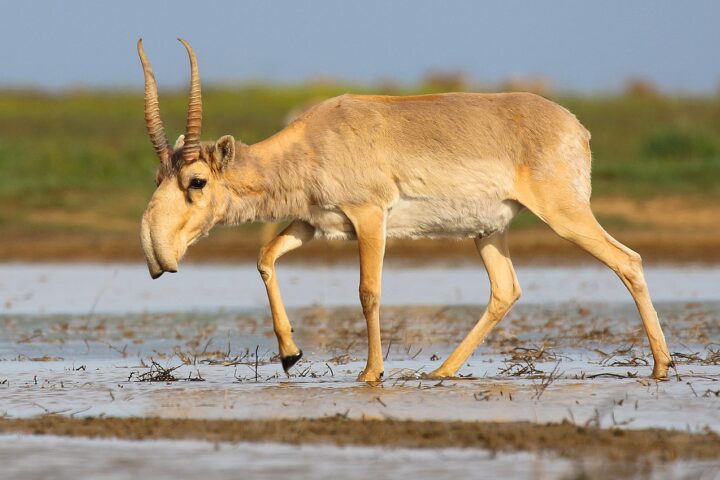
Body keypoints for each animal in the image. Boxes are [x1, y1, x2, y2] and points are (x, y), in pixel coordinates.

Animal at [138, 40, 672, 382]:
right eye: (158, 177)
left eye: (196, 181)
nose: (155, 253)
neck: (313, 140)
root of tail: (576, 127)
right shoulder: (313, 223)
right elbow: (265, 257)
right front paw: (290, 355)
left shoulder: (370, 218)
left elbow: (368, 291)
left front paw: (371, 373)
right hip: (488, 232)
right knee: (505, 290)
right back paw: (441, 371)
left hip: (565, 215)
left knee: (627, 260)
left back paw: (662, 365)